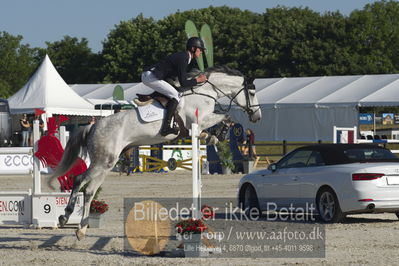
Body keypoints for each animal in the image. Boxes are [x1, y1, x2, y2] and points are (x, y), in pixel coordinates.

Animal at [50, 65, 262, 240]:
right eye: (252, 92)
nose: (257, 117)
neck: (206, 92)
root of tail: (93, 126)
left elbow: (221, 120)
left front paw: (212, 136)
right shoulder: (198, 120)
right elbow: (226, 115)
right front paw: (220, 133)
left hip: (104, 163)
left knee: (85, 186)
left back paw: (73, 223)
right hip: (104, 162)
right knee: (83, 184)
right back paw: (72, 222)